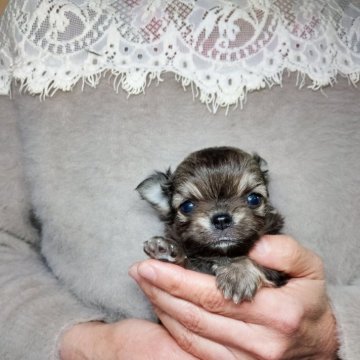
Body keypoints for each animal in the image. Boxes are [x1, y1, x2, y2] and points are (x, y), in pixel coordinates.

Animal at [136, 146, 286, 304]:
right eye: (187, 206)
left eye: (254, 199)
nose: (221, 219)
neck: (221, 255)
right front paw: (165, 247)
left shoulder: (276, 275)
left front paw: (238, 271)